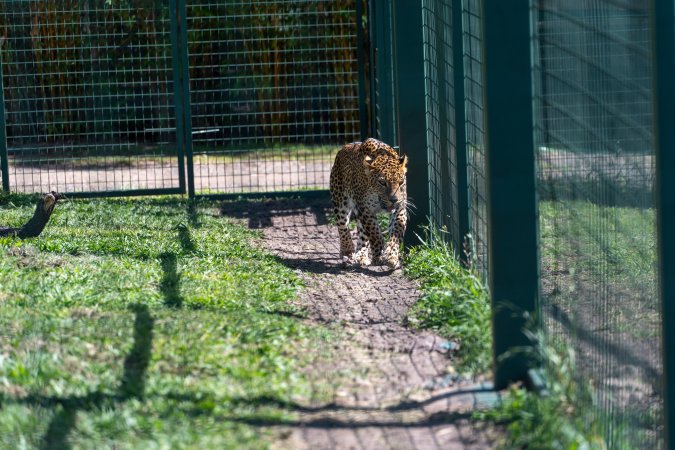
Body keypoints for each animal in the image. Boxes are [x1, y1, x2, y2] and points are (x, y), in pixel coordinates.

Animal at [329, 137, 408, 269]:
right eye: (382, 182)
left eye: (401, 182)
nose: (394, 200)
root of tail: (344, 147)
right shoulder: (365, 209)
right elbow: (375, 235)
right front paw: (377, 255)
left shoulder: (400, 208)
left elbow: (396, 234)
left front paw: (391, 256)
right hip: (340, 200)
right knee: (342, 226)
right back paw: (347, 250)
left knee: (362, 234)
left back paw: (362, 256)